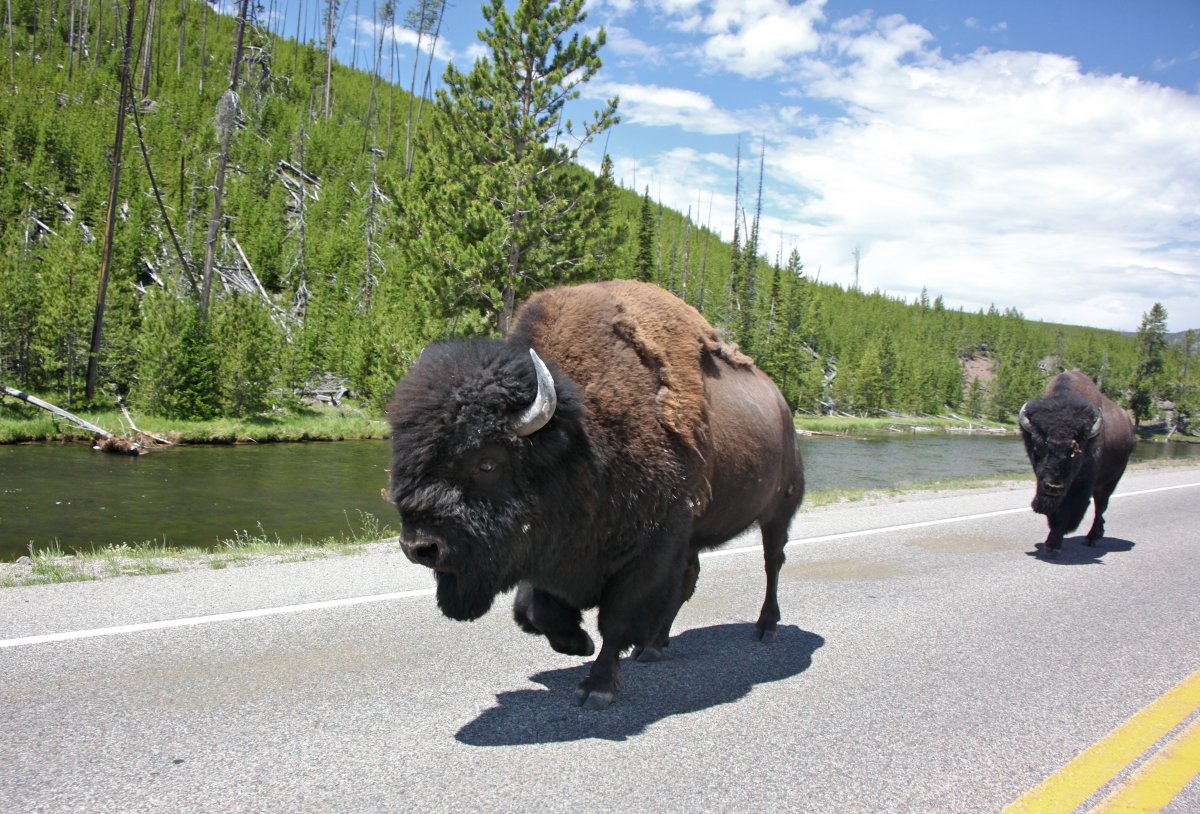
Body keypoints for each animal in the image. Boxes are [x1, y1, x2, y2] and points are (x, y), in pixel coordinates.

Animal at [387, 280, 805, 708]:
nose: (419, 546)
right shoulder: (552, 551)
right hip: (695, 534)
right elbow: (533, 611)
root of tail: (782, 405)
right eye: (402, 453)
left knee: (772, 561)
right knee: (691, 578)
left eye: (487, 463)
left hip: (779, 509)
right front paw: (577, 642)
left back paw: (766, 627)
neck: (582, 441)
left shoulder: (649, 551)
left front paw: (597, 686)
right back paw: (654, 646)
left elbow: (616, 618)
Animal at [1018, 371, 1135, 556]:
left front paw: (1053, 545)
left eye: (1076, 452)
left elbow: (1068, 511)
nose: (1054, 487)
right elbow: (1054, 512)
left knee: (1100, 506)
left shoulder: (1081, 486)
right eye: (1037, 447)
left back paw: (1092, 538)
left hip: (1111, 481)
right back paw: (1099, 532)